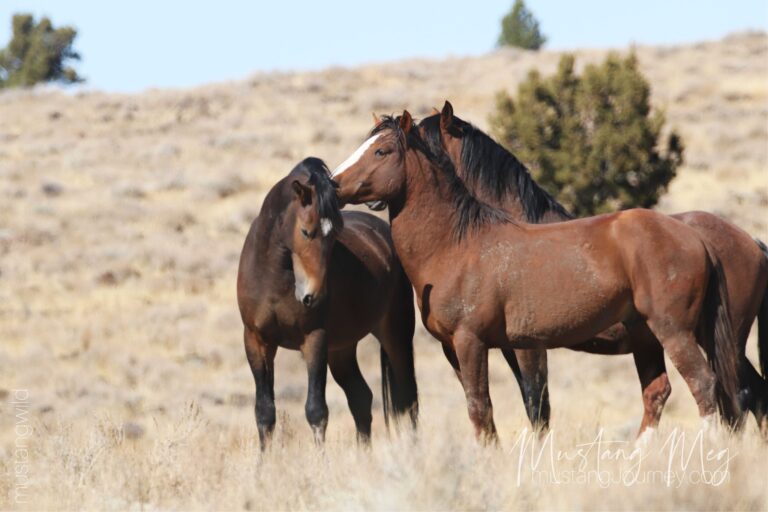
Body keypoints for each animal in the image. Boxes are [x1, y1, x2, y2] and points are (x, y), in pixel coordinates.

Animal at [237, 157, 417, 449]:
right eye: (305, 232)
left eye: (334, 237)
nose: (314, 296)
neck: (274, 277)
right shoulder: (257, 340)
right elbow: (264, 413)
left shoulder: (315, 339)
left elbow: (316, 411)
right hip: (342, 350)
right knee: (361, 398)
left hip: (395, 337)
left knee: (407, 399)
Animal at [331, 112, 741, 442]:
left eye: (381, 151)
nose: (332, 184)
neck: (458, 244)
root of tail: (696, 237)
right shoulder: (455, 349)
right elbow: (486, 411)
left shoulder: (479, 343)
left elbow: (491, 407)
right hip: (647, 337)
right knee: (661, 392)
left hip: (675, 331)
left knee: (705, 386)